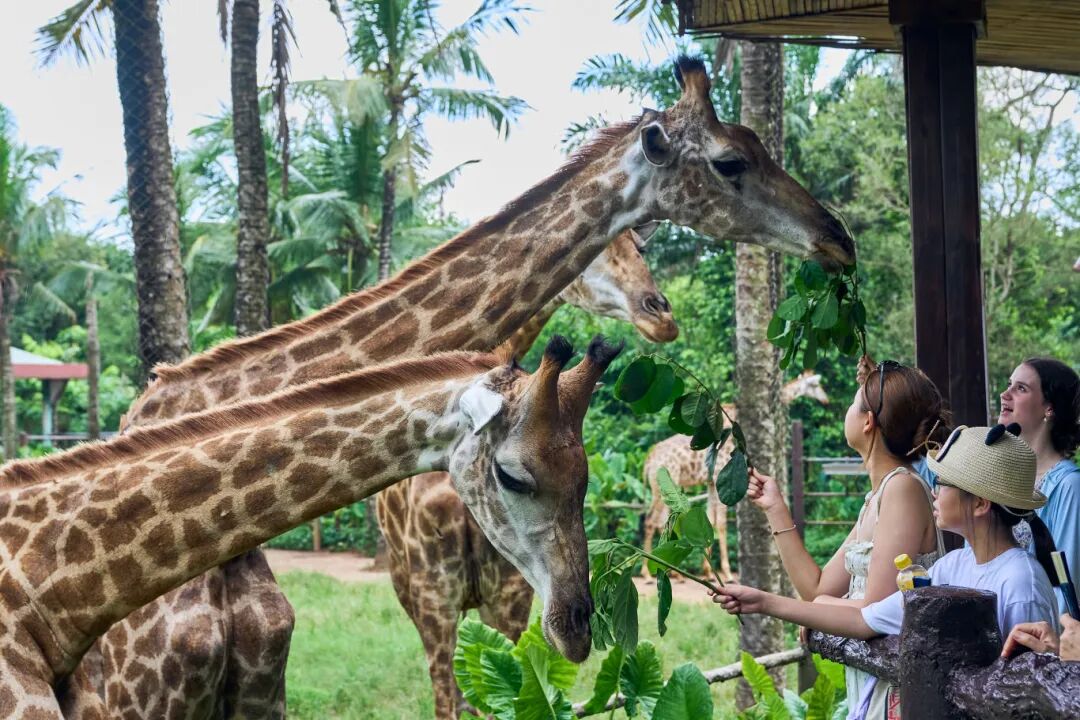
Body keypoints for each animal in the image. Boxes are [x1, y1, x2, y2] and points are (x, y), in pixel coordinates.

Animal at [642, 370, 831, 580]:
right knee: (650, 520)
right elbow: (721, 523)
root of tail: (648, 461)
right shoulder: (718, 475)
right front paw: (726, 572)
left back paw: (671, 571)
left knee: (661, 521)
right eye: (816, 385)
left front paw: (708, 572)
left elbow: (710, 520)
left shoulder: (711, 482)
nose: (826, 400)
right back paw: (647, 573)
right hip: (662, 485)